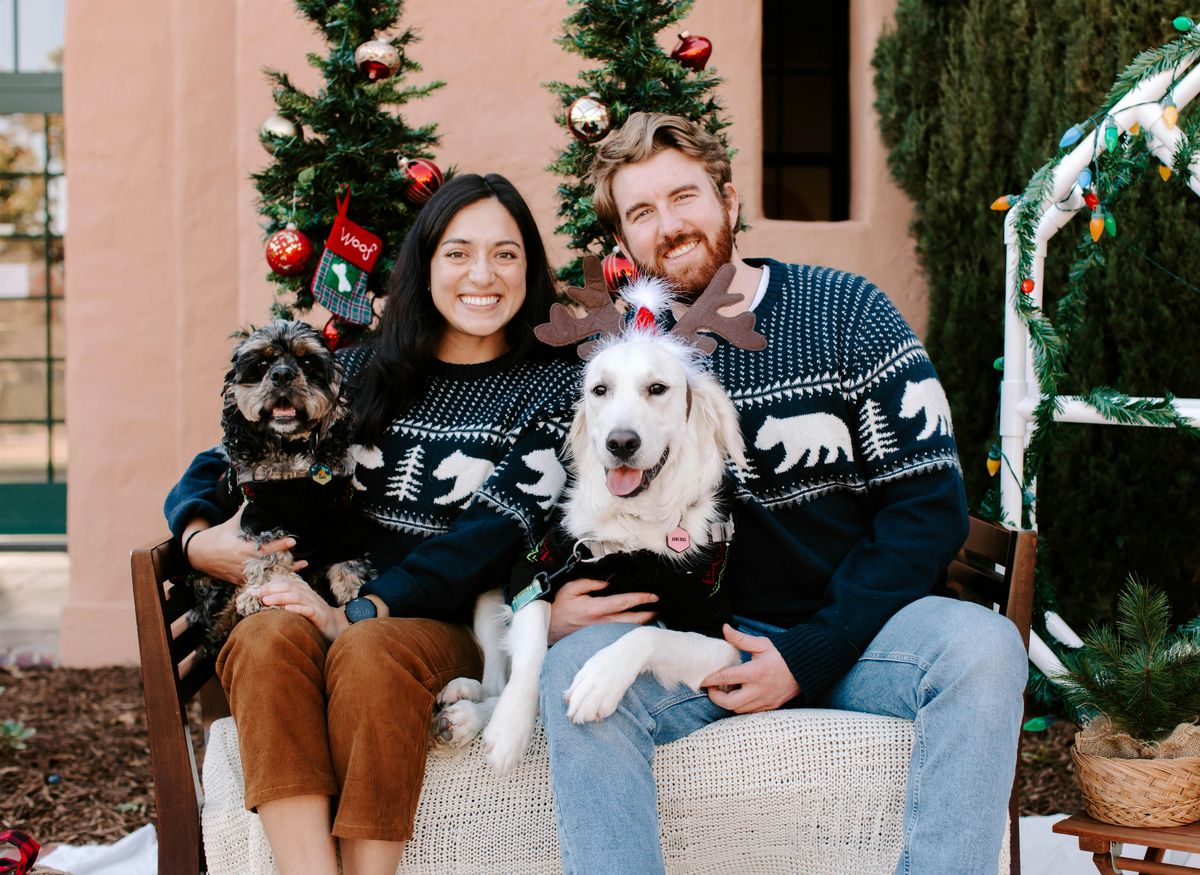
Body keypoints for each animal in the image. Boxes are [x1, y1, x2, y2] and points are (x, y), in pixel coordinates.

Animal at [436, 264, 763, 772]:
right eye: (600, 390)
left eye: (657, 388)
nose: (620, 442)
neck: (634, 529)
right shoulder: (534, 572)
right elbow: (532, 653)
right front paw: (509, 729)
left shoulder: (721, 639)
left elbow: (646, 637)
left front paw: (598, 681)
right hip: (489, 598)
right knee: (496, 677)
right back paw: (473, 709)